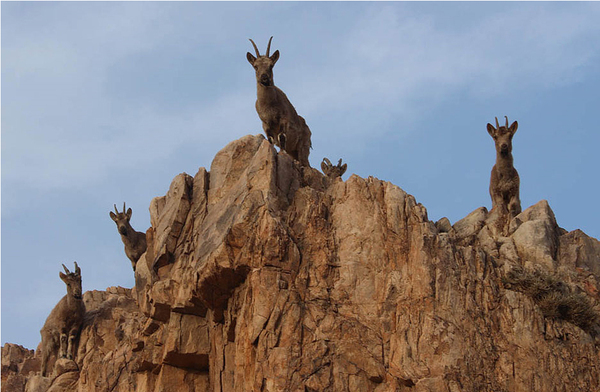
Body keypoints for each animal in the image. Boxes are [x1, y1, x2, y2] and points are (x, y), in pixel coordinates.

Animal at [246, 36, 312, 166]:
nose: (264, 78)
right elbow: (270, 139)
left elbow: (281, 136)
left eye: (271, 65)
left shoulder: (283, 119)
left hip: (303, 146)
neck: (269, 106)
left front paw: (282, 152)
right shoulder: (265, 124)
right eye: (255, 66)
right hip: (294, 151)